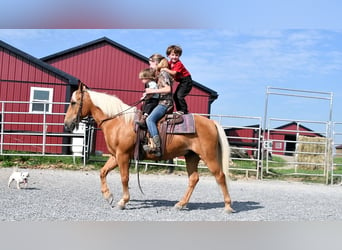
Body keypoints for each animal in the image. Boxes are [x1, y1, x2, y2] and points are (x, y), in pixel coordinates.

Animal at [63, 82, 234, 213]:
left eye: (73, 102)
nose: (66, 124)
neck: (119, 121)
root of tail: (211, 122)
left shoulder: (123, 155)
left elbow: (124, 178)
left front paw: (123, 201)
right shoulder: (114, 156)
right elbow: (102, 172)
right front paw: (108, 196)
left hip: (209, 156)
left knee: (220, 176)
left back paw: (228, 206)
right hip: (191, 156)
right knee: (193, 178)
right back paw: (180, 204)